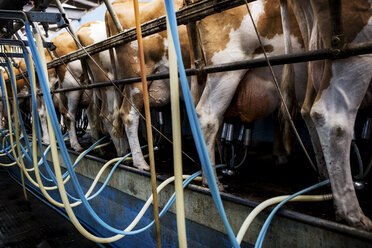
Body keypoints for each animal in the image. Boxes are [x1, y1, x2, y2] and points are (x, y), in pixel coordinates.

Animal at [282, 0, 372, 231]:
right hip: (354, 45)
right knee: (332, 118)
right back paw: (352, 214)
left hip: (316, 45)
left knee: (308, 109)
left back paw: (326, 177)